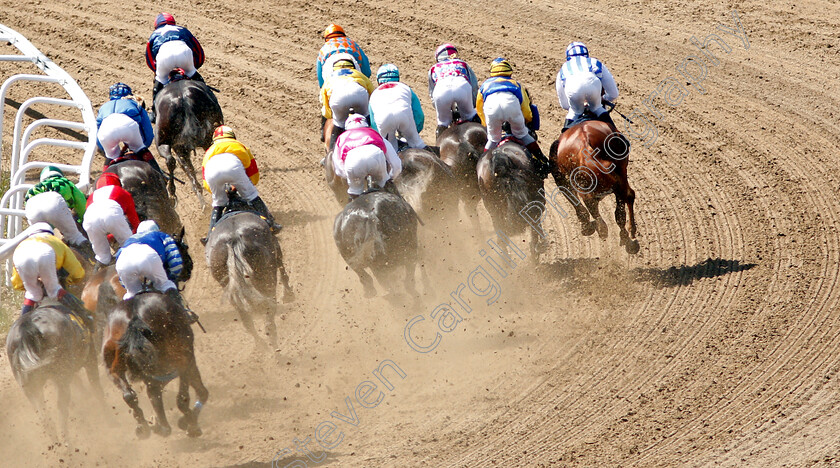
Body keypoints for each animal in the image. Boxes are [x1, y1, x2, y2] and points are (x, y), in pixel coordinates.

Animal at [5, 300, 104, 438]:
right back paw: (66, 440)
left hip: (31, 390)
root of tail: (27, 328)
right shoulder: (90, 358)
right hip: (61, 378)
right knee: (61, 410)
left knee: (44, 417)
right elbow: (97, 389)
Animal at [101, 290, 207, 436]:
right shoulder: (187, 361)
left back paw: (144, 427)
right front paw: (189, 423)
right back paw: (189, 424)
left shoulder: (154, 379)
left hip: (112, 365)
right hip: (181, 356)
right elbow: (200, 392)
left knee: (129, 395)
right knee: (182, 398)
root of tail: (134, 316)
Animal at [204, 186, 294, 348]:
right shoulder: (276, 248)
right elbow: (282, 269)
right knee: (269, 313)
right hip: (265, 277)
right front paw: (289, 293)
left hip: (229, 286)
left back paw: (261, 346)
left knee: (246, 319)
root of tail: (232, 239)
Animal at [548, 119, 640, 254]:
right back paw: (626, 235)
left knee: (592, 202)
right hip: (620, 172)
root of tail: (585, 142)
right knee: (626, 198)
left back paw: (603, 229)